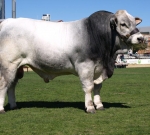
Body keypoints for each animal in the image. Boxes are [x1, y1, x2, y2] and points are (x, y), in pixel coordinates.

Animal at [0, 9, 144, 113]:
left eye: (135, 23)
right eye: (123, 24)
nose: (141, 38)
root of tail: (7, 22)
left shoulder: (99, 69)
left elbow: (98, 87)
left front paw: (99, 105)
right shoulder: (85, 66)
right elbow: (89, 87)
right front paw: (90, 107)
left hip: (17, 67)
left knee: (11, 86)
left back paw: (13, 106)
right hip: (8, 65)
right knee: (4, 85)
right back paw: (2, 109)